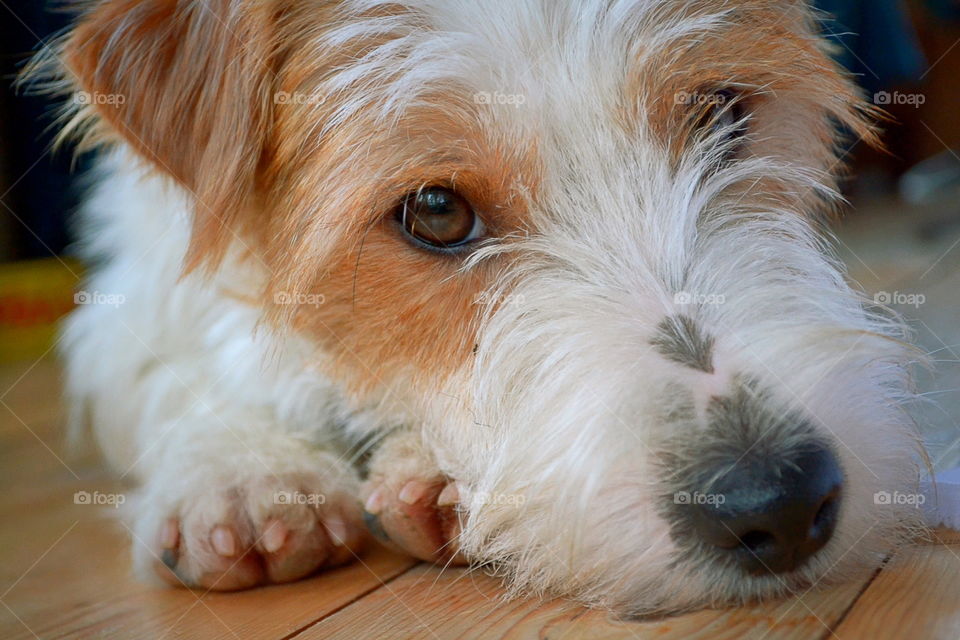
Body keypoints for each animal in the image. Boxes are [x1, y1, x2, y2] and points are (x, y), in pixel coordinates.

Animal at [33, 0, 928, 616]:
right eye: (435, 211)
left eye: (719, 113)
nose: (779, 501)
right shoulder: (125, 303)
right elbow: (176, 373)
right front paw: (246, 472)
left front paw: (431, 478)